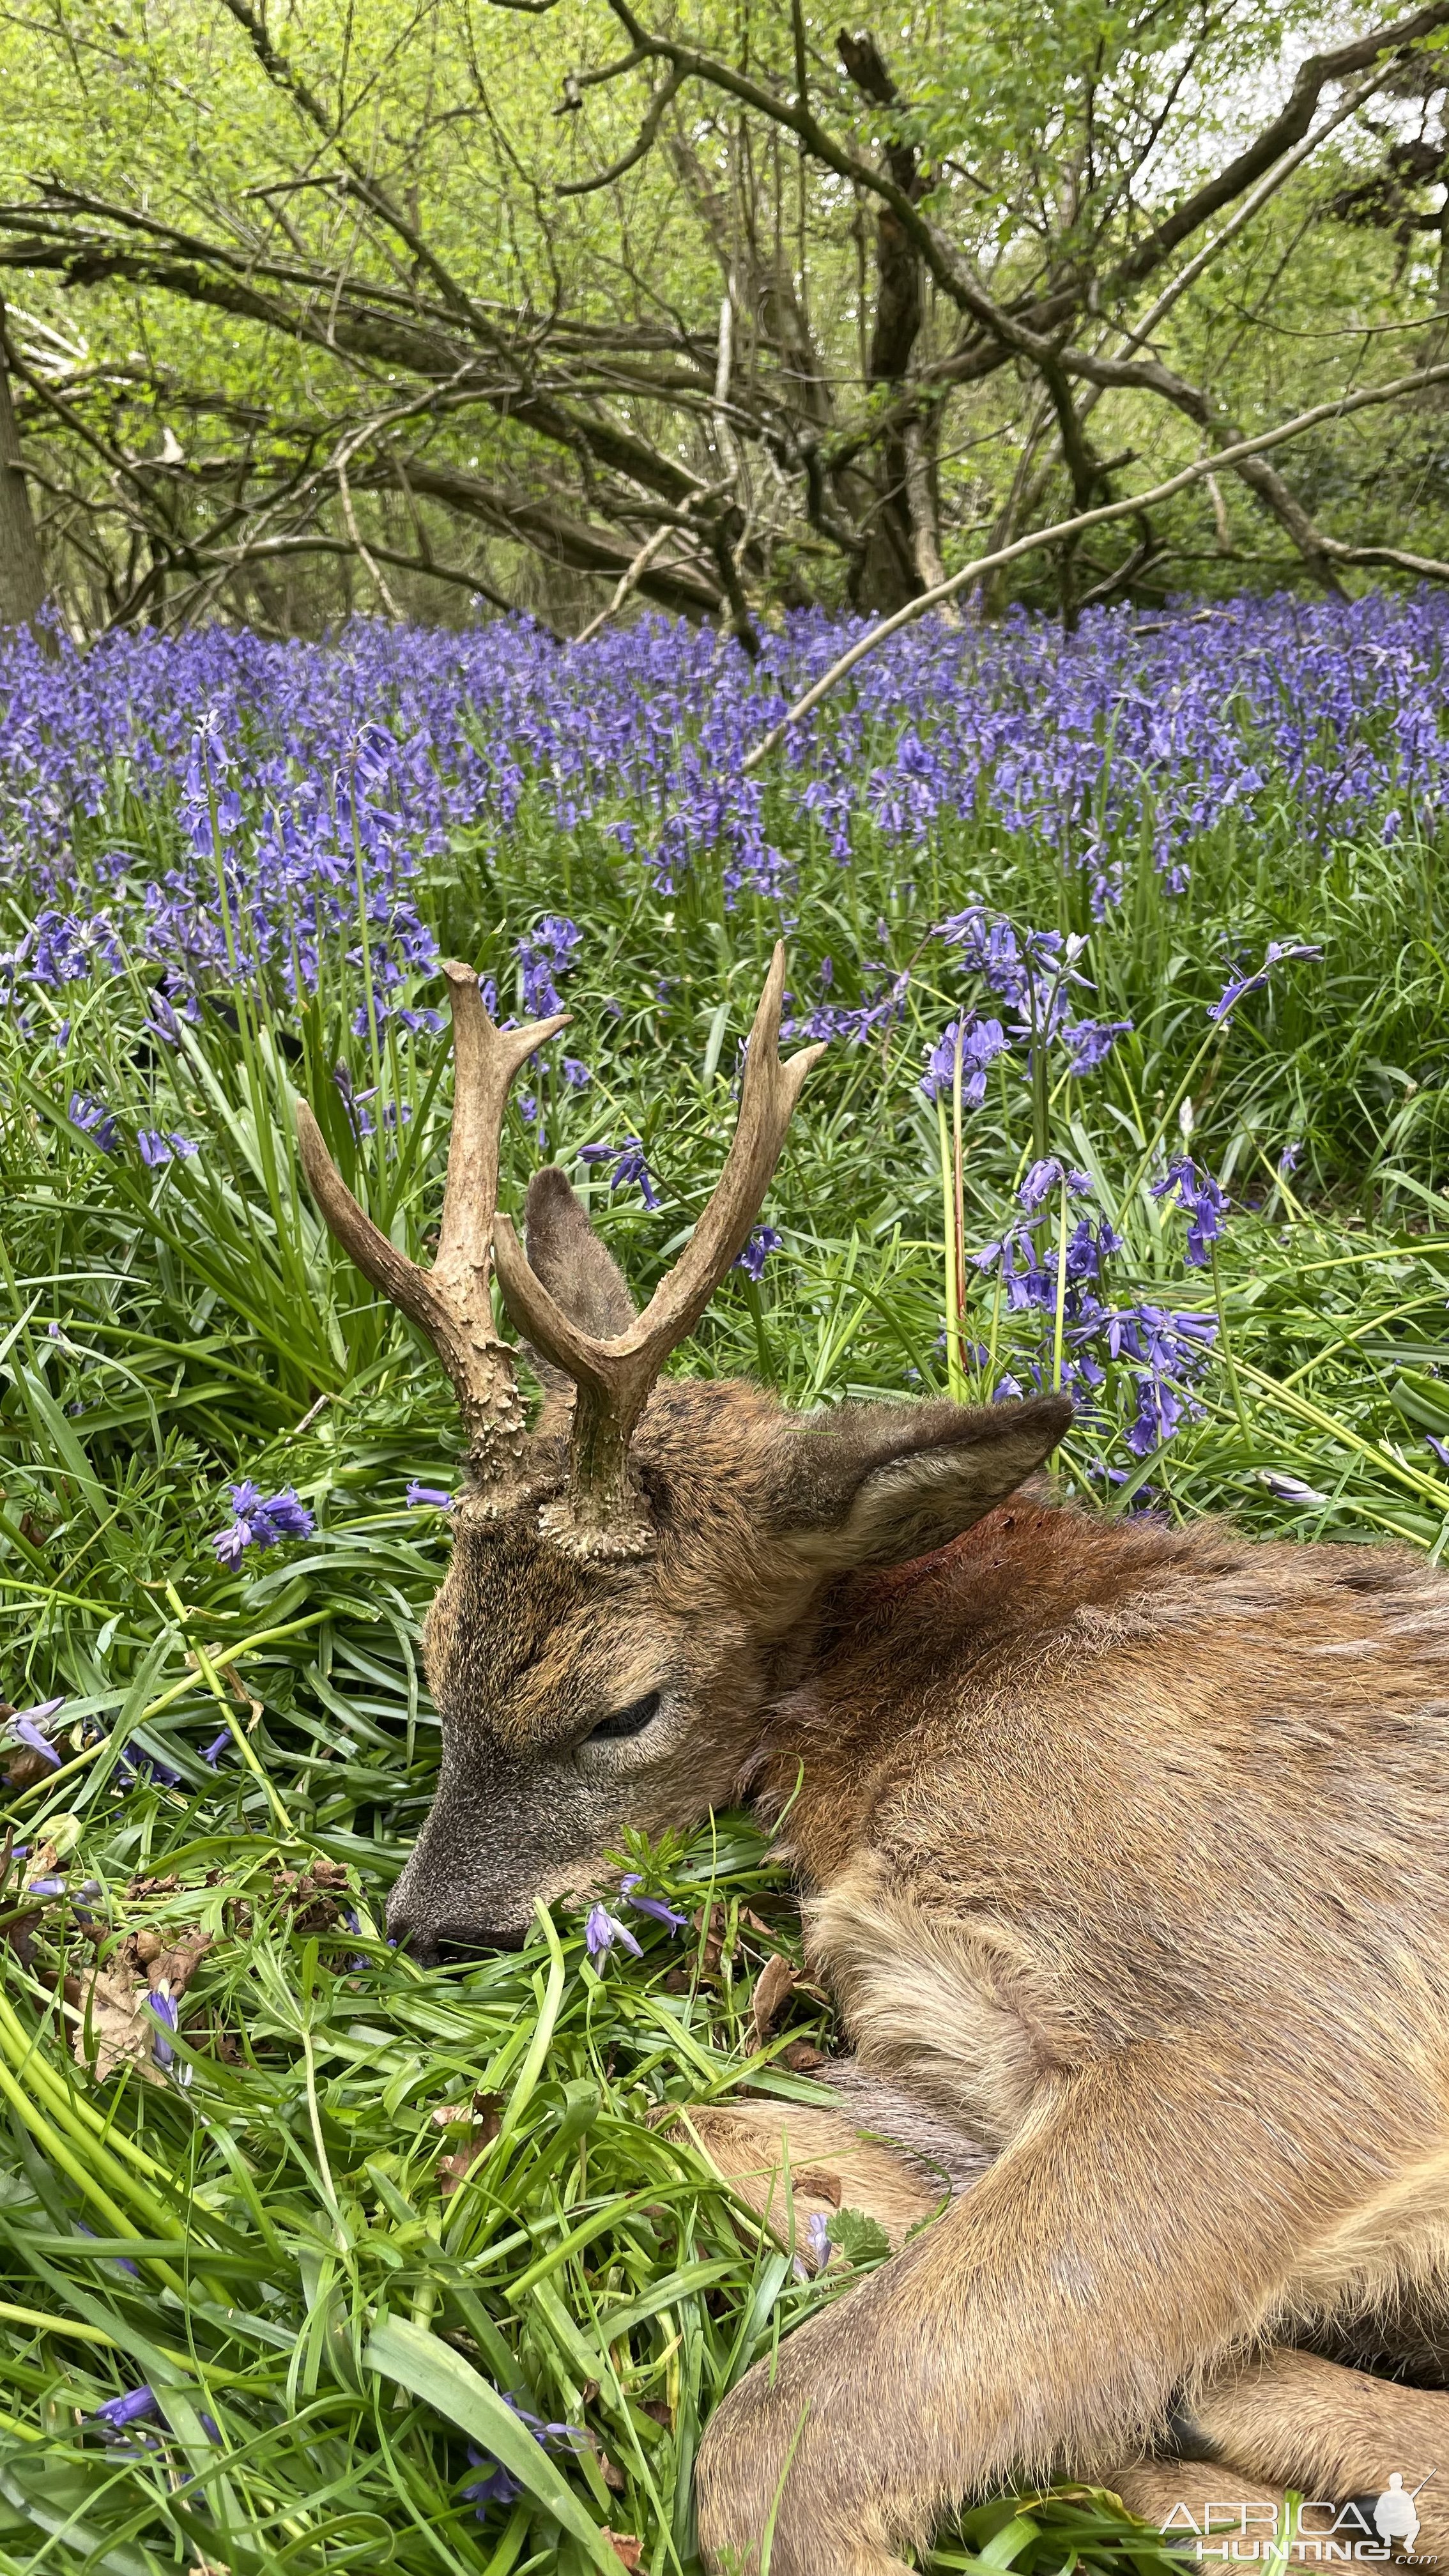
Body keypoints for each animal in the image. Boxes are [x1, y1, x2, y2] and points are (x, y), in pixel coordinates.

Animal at [296, 947, 1443, 2576]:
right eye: (436, 1635)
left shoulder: (1287, 2019)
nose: (425, 1927)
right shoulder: (934, 2045)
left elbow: (785, 2452)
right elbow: (696, 2120)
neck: (911, 1705)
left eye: (624, 1707)